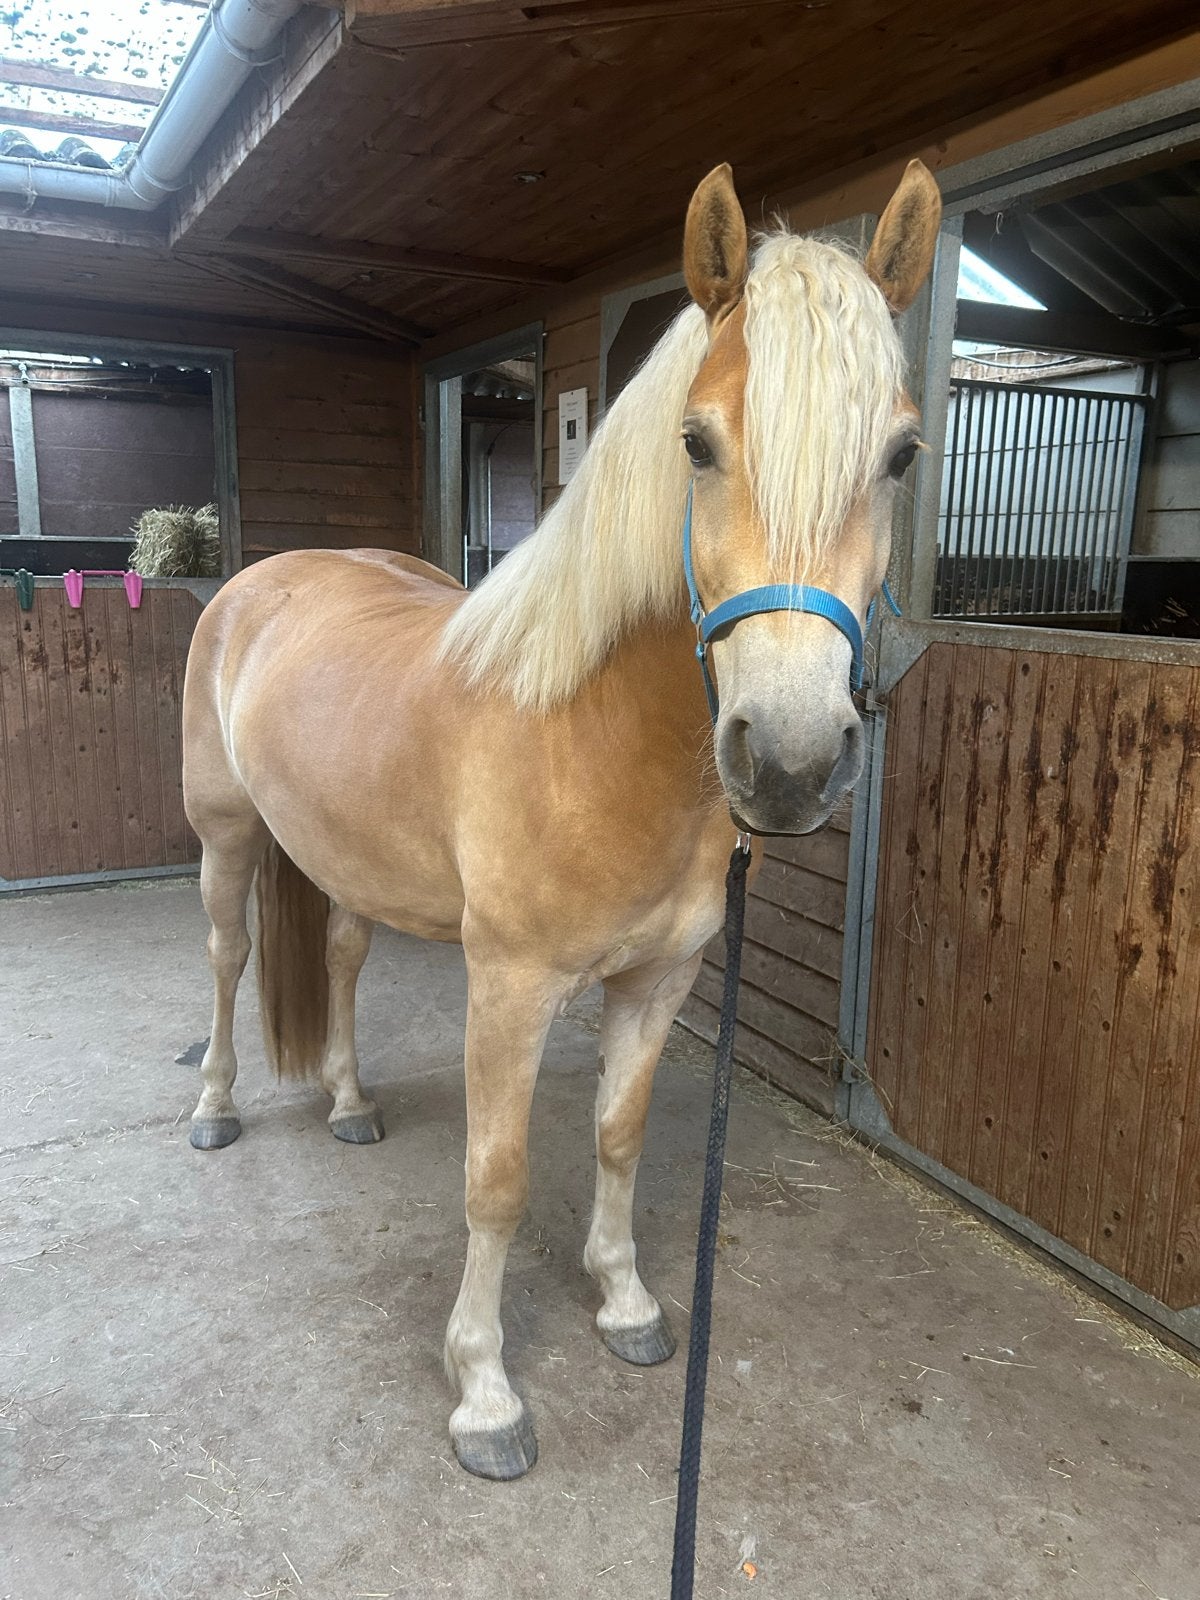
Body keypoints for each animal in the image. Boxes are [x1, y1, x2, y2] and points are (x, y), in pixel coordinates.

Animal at [181, 159, 941, 1481]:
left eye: (899, 453)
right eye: (696, 441)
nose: (789, 760)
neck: (589, 733)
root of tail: (264, 581)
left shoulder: (659, 981)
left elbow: (619, 1137)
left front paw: (626, 1303)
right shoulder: (511, 986)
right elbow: (496, 1177)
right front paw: (485, 1393)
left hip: (345, 864)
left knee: (340, 958)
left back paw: (349, 1105)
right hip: (226, 840)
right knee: (227, 958)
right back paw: (219, 1109)